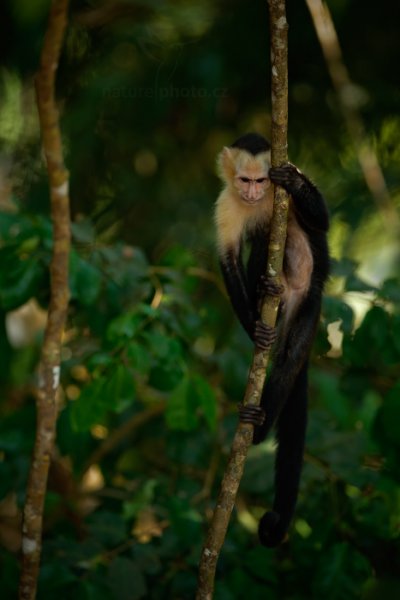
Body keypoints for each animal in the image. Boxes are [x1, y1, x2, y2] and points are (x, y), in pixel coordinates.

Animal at [214, 134, 330, 548]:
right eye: (245, 180)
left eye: (262, 181)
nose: (252, 194)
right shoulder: (226, 203)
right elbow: (229, 260)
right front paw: (253, 328)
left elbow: (322, 221)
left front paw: (293, 182)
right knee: (261, 244)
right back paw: (266, 291)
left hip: (310, 303)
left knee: (291, 360)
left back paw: (260, 427)